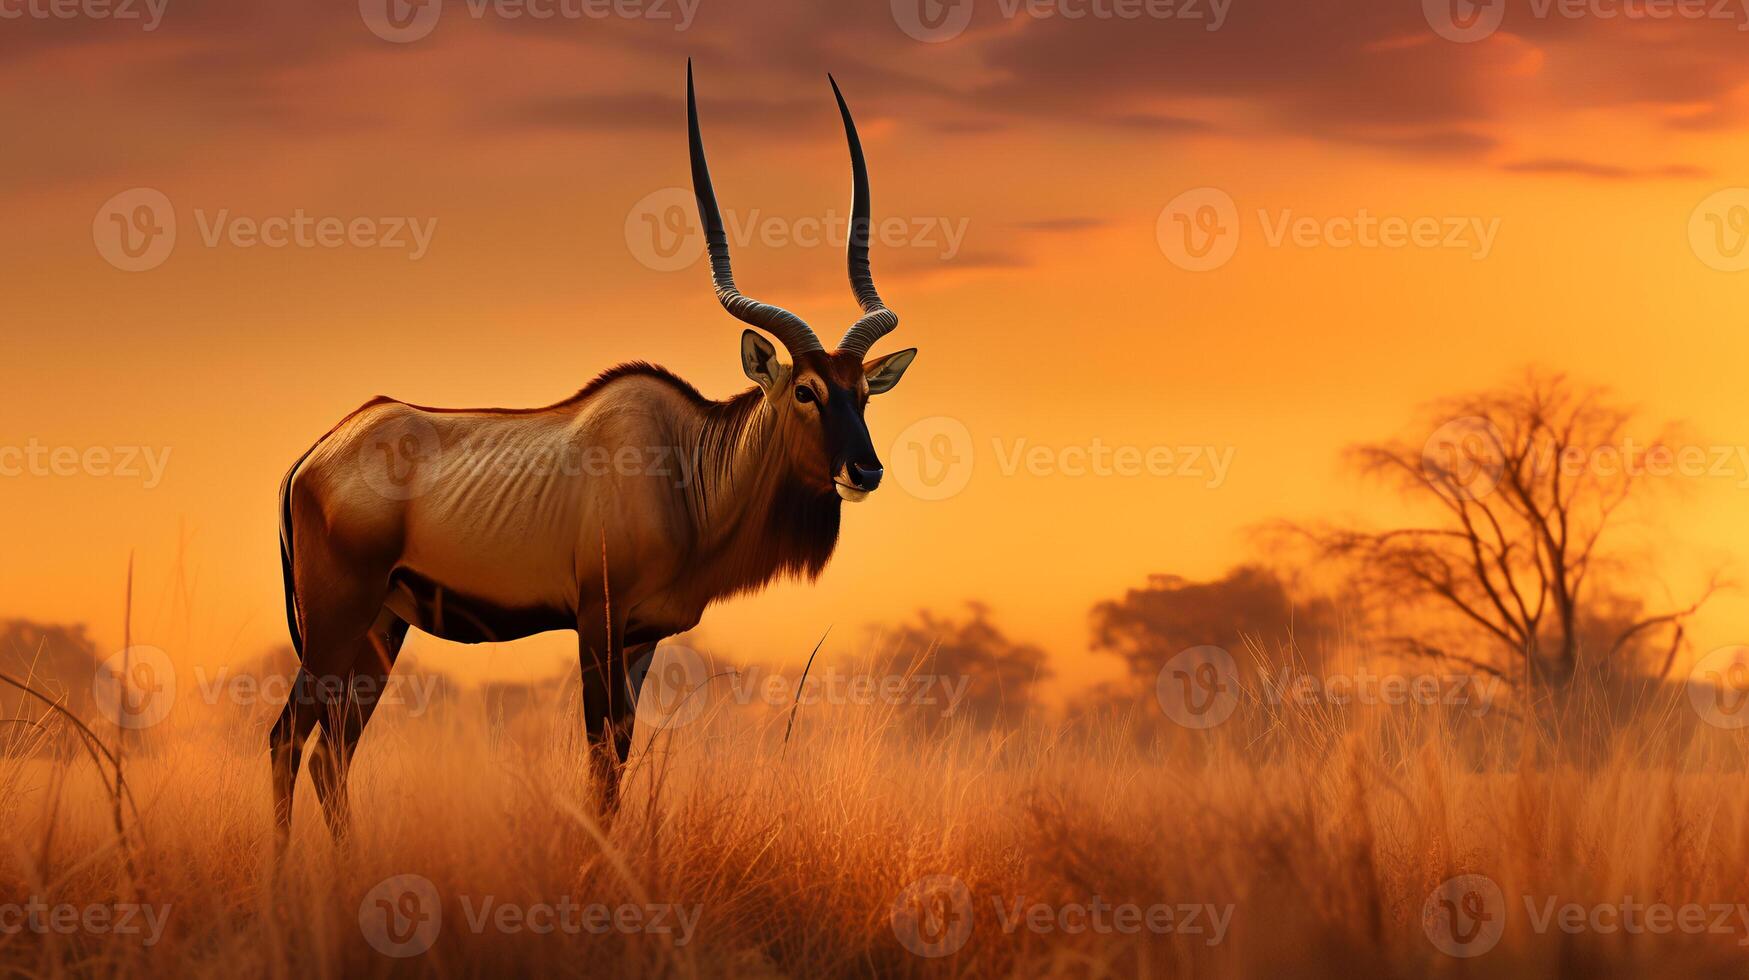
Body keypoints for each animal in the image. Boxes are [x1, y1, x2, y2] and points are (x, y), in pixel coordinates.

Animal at [269, 65, 916, 840]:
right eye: (807, 391)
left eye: (864, 391)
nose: (864, 470)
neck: (685, 469)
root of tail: (314, 456)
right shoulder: (596, 623)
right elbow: (600, 761)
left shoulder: (641, 640)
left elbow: (619, 763)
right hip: (338, 619)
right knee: (288, 737)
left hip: (380, 627)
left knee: (330, 751)